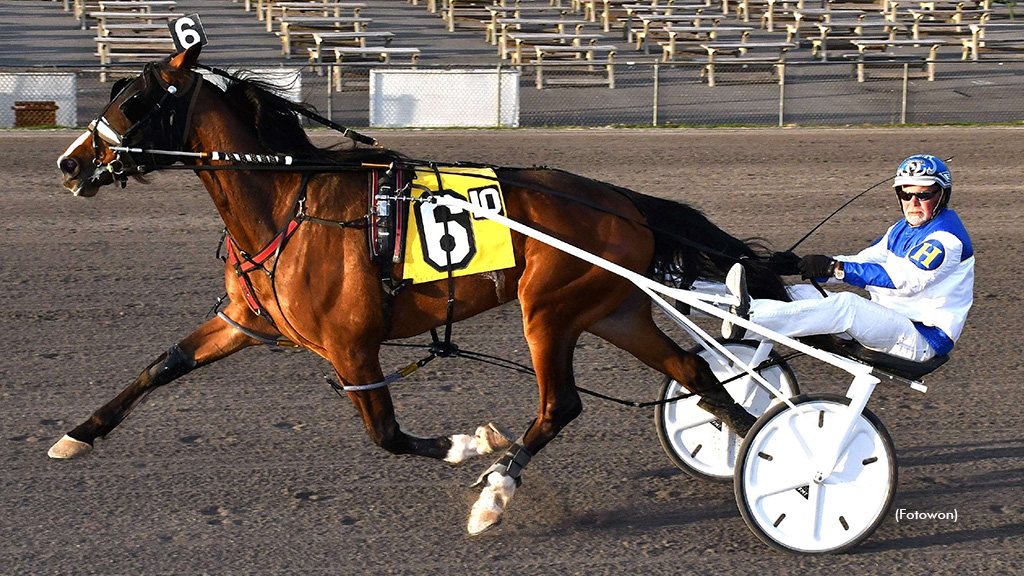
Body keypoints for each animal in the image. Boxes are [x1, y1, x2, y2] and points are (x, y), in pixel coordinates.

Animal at [54, 45, 790, 532]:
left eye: (135, 101)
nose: (71, 162)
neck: (290, 203)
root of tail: (623, 202)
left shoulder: (353, 346)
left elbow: (386, 433)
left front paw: (472, 446)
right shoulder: (247, 320)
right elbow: (163, 364)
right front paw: (76, 436)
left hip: (549, 310)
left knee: (561, 405)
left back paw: (496, 491)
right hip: (615, 309)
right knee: (694, 369)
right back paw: (759, 443)